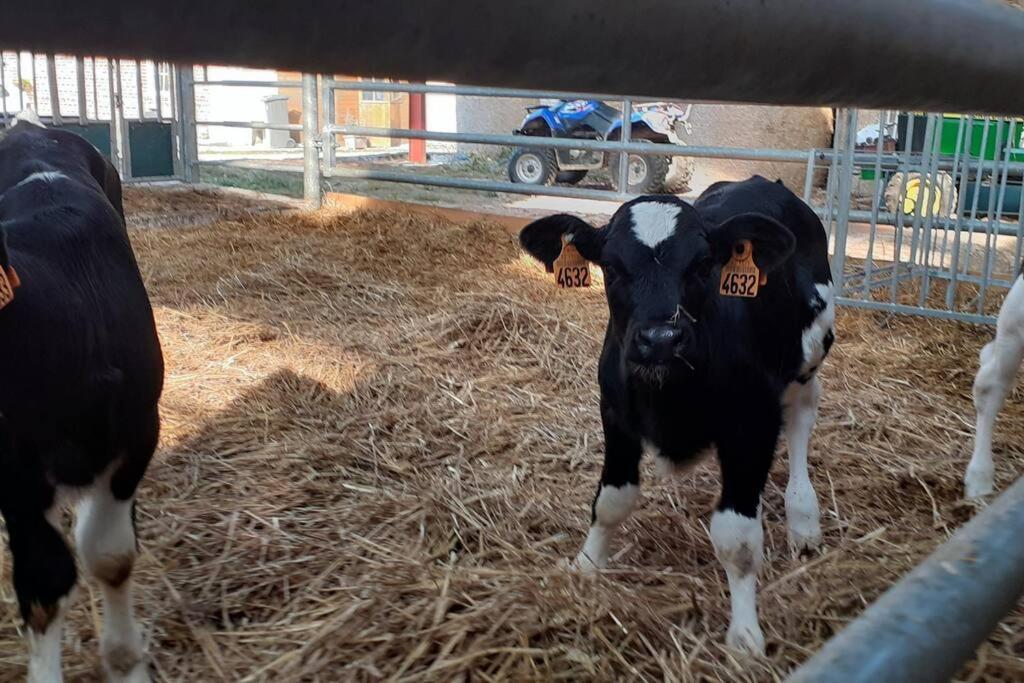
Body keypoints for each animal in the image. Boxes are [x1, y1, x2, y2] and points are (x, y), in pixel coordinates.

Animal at [520, 178, 831, 655]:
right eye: (611, 266)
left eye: (703, 264)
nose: (661, 338)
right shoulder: (615, 413)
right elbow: (610, 502)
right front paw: (586, 564)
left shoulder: (753, 424)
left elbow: (737, 539)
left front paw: (745, 634)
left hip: (808, 357)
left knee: (801, 420)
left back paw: (803, 518)